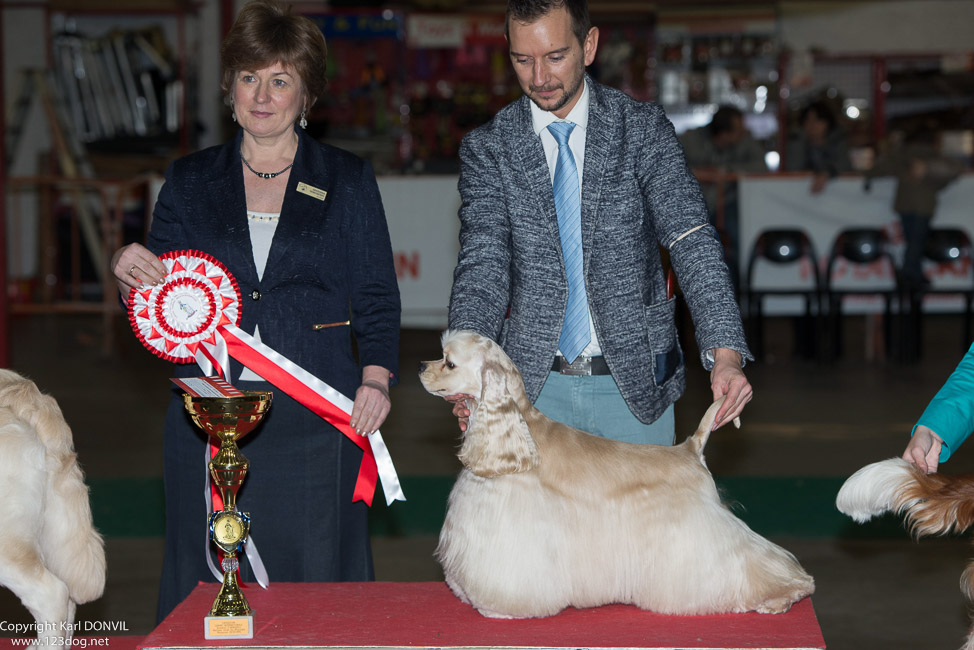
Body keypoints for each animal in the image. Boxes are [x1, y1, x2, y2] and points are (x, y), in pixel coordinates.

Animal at [420, 332, 816, 616]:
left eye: (449, 362)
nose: (422, 366)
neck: (518, 436)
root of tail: (690, 449)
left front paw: (498, 608)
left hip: (702, 531)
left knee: (751, 559)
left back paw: (783, 595)